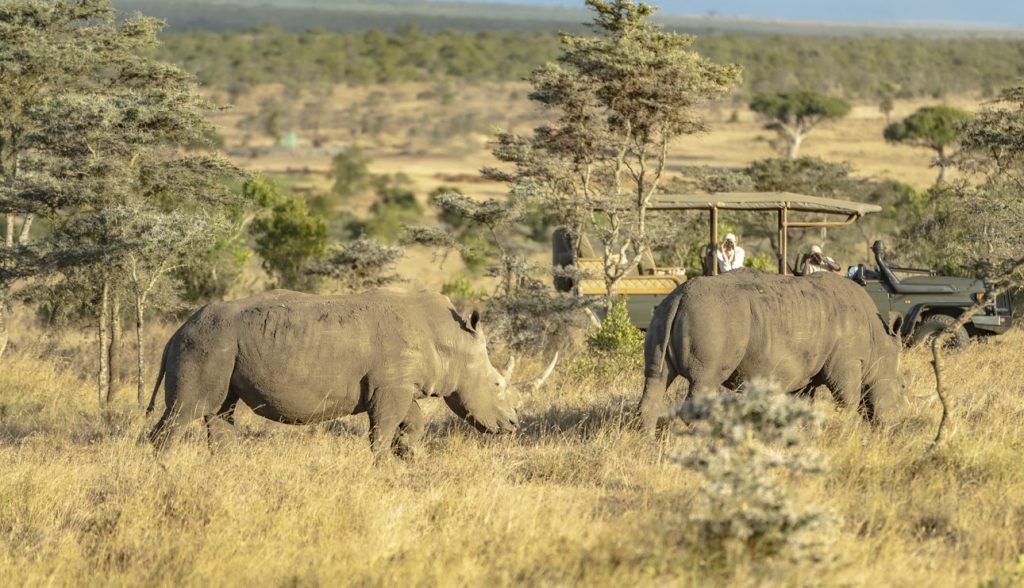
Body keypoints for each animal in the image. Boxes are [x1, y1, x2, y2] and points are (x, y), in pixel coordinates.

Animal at [145, 289, 555, 458]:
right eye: (497, 384)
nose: (513, 425)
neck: (450, 341)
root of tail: (176, 333)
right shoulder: (391, 386)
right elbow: (381, 431)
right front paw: (382, 465)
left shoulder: (397, 384)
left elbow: (413, 421)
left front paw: (408, 455)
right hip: (205, 343)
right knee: (186, 412)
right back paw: (165, 469)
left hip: (219, 345)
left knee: (220, 412)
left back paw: (226, 469)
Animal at [638, 269, 903, 434]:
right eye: (901, 386)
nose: (890, 427)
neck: (879, 338)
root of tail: (679, 297)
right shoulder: (846, 362)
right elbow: (848, 401)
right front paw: (847, 433)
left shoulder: (804, 375)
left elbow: (803, 407)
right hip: (713, 318)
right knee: (705, 380)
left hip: (663, 314)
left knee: (656, 378)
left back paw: (647, 444)